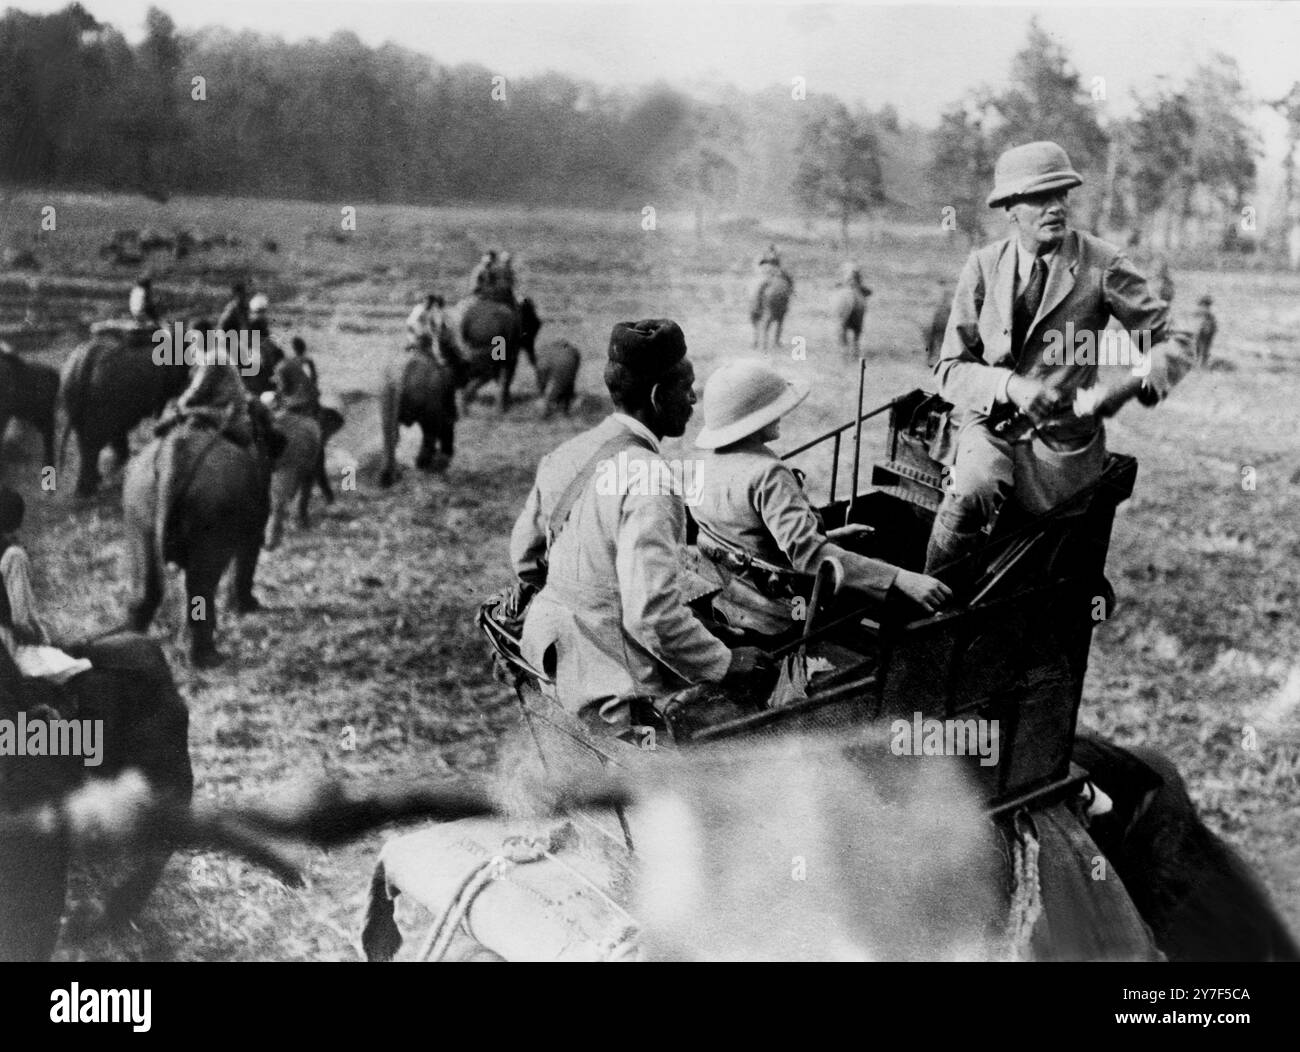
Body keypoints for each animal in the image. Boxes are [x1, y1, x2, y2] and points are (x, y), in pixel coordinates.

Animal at [58, 323, 189, 496]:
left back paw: (88, 487)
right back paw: (90, 489)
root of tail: (82, 364)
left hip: (71, 393)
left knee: (87, 438)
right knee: (96, 439)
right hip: (105, 393)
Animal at [122, 413, 274, 665]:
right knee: (200, 586)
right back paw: (206, 657)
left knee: (146, 586)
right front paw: (247, 606)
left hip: (138, 503)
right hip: (212, 512)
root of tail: (171, 459)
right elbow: (246, 558)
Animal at [263, 403, 343, 548]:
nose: (341, 420)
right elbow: (309, 488)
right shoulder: (313, 461)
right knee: (278, 503)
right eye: (330, 416)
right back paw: (272, 538)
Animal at [377, 340, 457, 483]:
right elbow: (434, 432)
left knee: (390, 437)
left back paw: (387, 475)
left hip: (387, 403)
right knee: (428, 436)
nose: (449, 452)